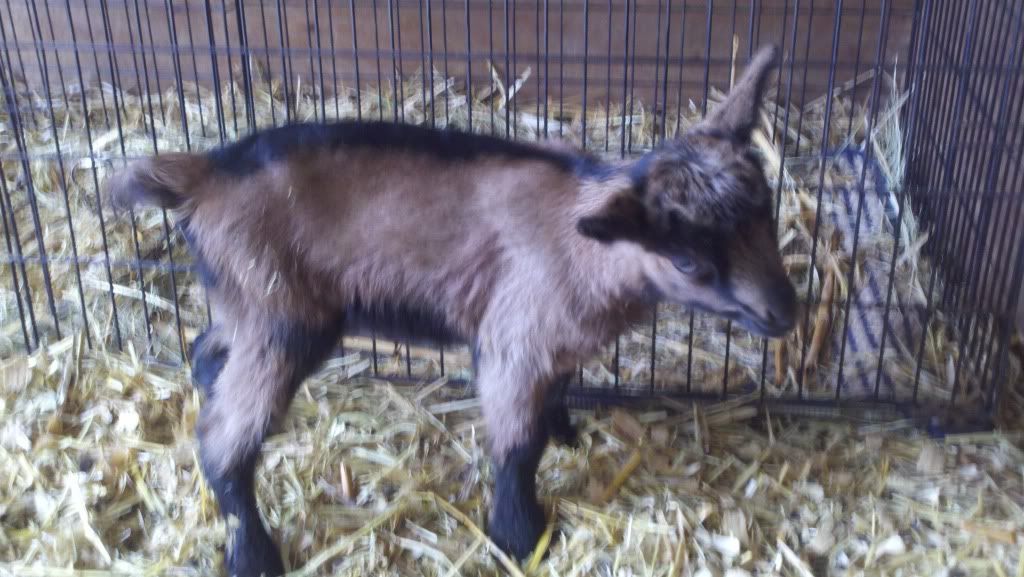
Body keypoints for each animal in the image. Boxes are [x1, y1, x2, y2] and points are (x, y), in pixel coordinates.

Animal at [106, 45, 794, 577]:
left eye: (767, 206)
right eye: (688, 260)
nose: (785, 314)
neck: (592, 247)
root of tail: (203, 173)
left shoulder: (552, 338)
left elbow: (554, 396)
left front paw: (566, 433)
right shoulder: (515, 339)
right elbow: (517, 447)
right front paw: (520, 537)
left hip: (245, 301)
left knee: (205, 349)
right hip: (282, 316)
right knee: (223, 440)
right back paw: (252, 553)